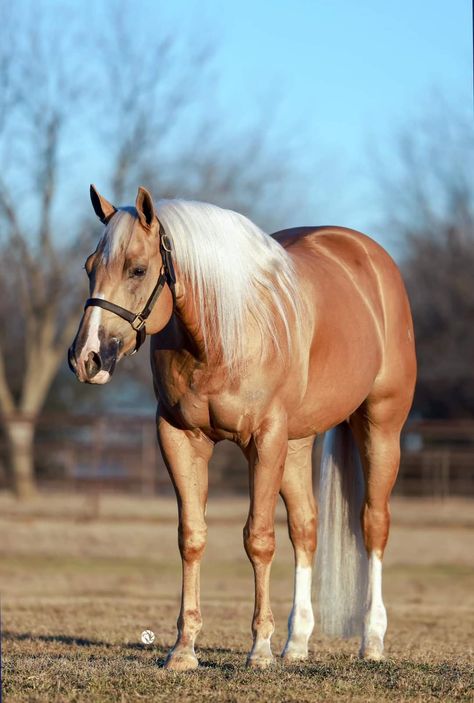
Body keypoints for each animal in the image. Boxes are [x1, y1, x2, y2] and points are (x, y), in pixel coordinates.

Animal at [67, 186, 414, 672]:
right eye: (88, 267)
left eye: (137, 269)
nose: (86, 357)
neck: (223, 333)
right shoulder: (179, 437)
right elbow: (192, 536)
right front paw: (184, 649)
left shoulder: (264, 440)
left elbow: (259, 539)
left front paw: (259, 649)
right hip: (298, 441)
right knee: (306, 528)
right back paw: (297, 643)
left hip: (381, 427)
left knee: (373, 525)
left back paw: (372, 640)